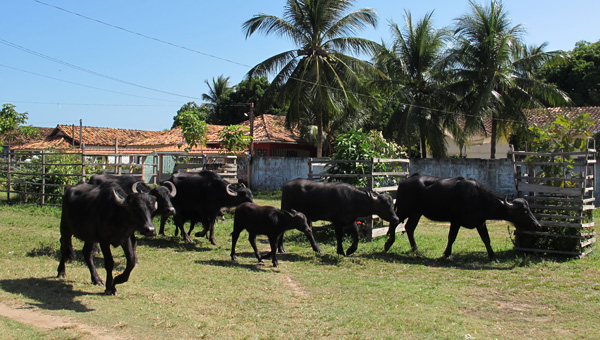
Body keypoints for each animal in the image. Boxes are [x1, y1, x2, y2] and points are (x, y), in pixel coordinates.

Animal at [386, 175, 540, 260]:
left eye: (528, 209)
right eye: (524, 211)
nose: (537, 225)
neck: (478, 198)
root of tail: (403, 182)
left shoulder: (480, 222)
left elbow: (486, 239)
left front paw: (492, 255)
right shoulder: (456, 221)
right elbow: (451, 237)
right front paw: (447, 254)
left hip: (416, 213)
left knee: (409, 228)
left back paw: (415, 249)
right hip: (405, 210)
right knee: (394, 223)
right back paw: (388, 243)